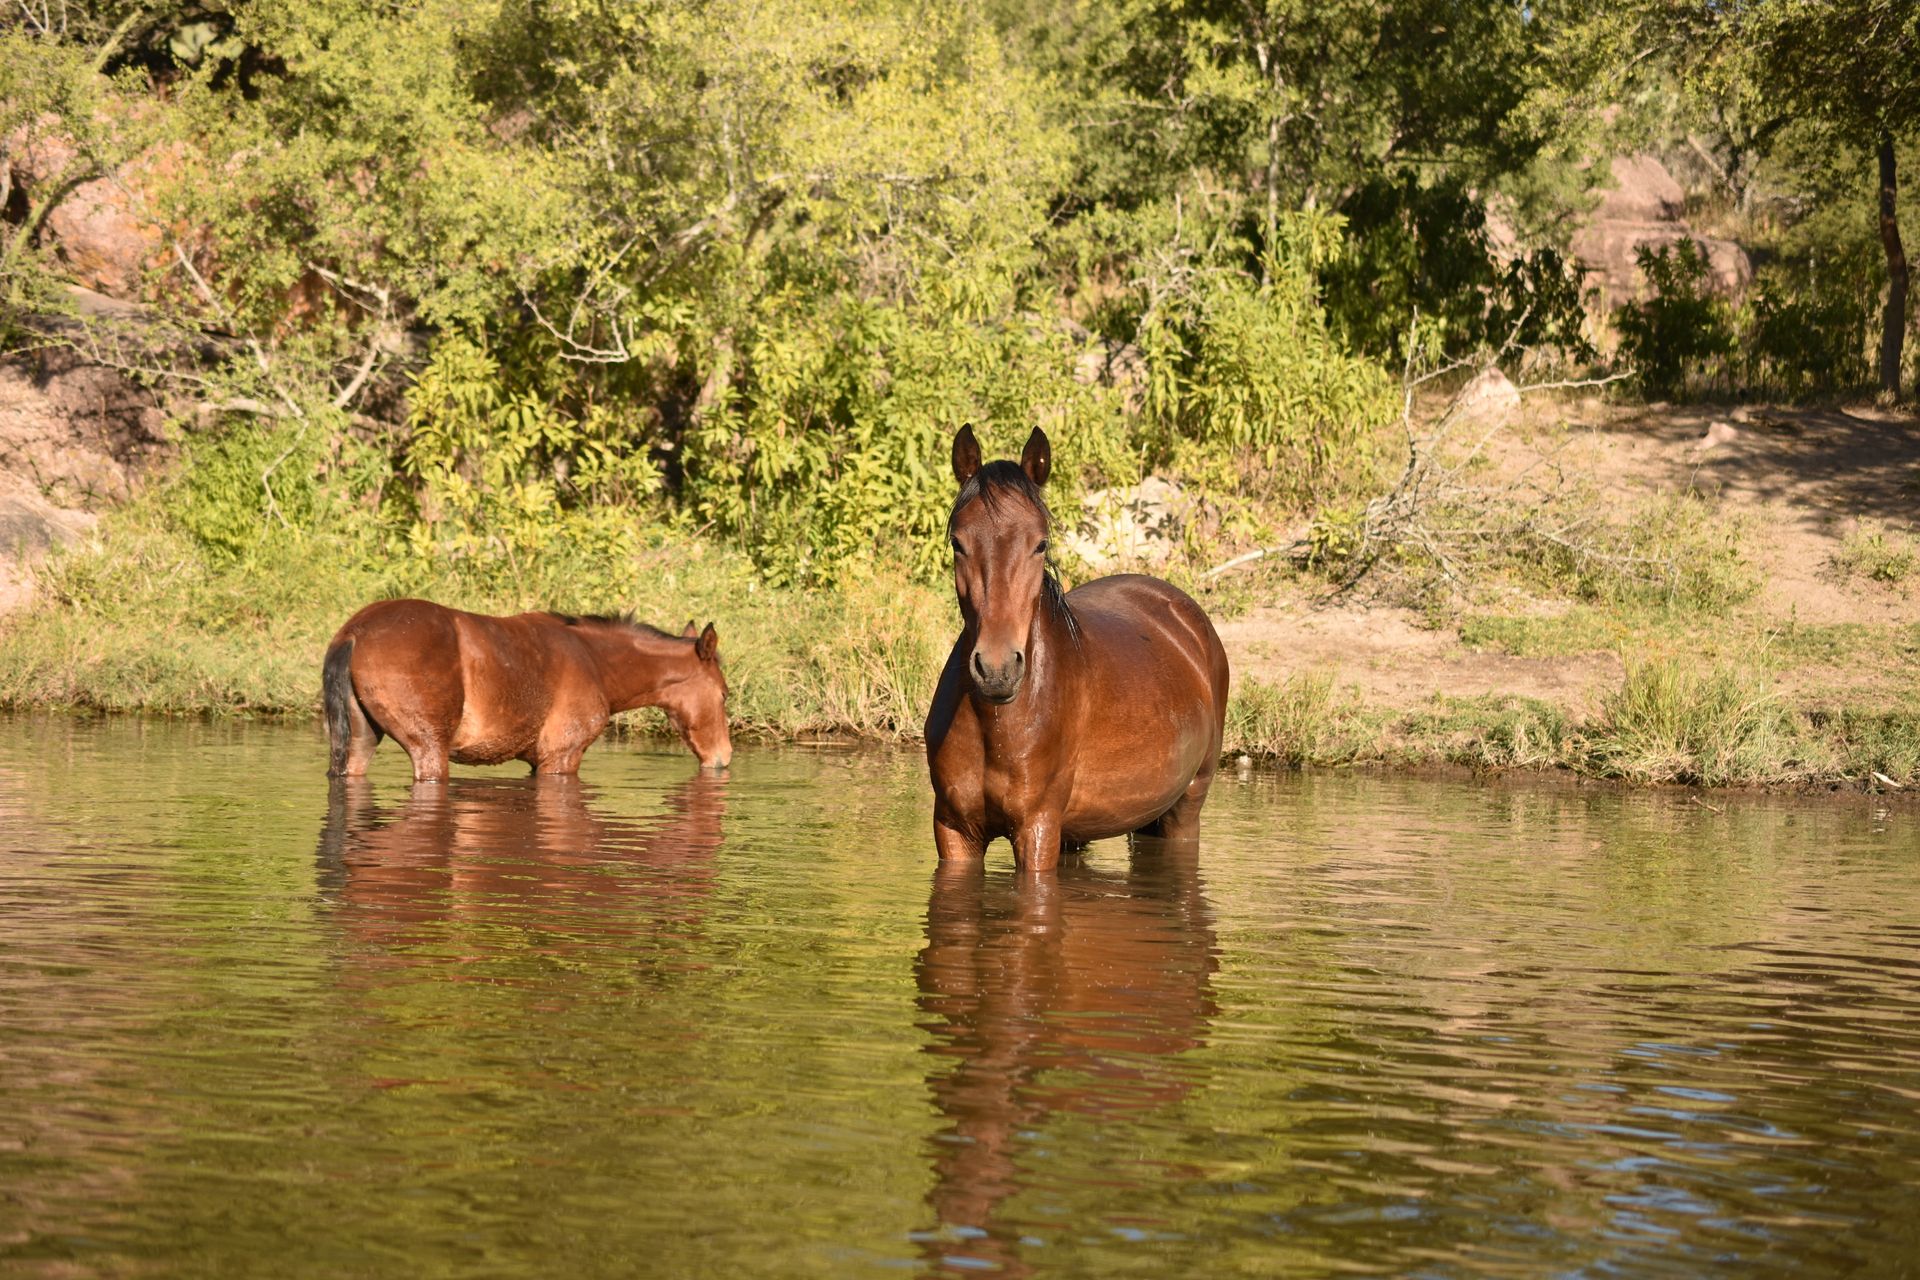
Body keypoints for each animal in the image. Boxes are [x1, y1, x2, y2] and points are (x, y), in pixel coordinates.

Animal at [323, 599, 731, 782]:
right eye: (725, 693)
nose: (724, 757)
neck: (594, 661)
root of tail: (354, 633)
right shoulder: (561, 758)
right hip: (429, 750)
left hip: (360, 743)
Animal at [924, 425, 1230, 870]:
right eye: (958, 543)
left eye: (1040, 544)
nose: (997, 669)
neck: (995, 723)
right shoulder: (955, 831)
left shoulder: (1037, 828)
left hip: (1186, 807)